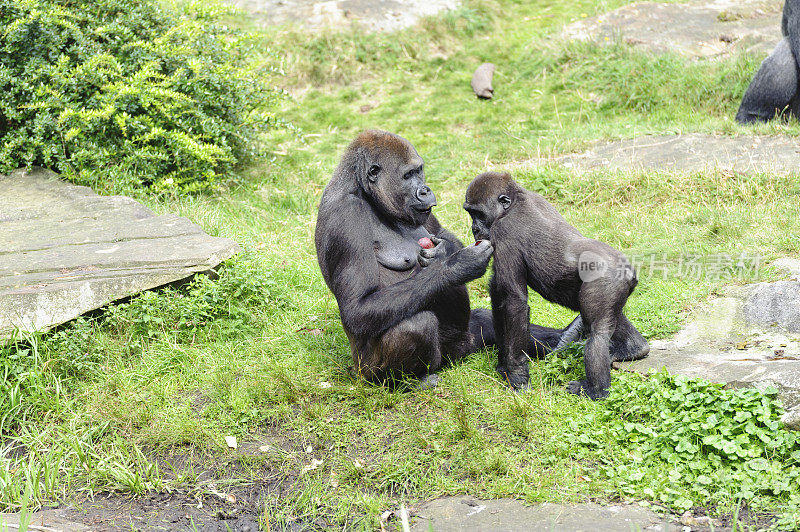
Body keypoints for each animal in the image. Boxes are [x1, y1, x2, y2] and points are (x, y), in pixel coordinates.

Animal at [316, 130, 572, 384]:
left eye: (419, 171)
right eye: (408, 175)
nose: (425, 190)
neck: (364, 192)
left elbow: (441, 233)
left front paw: (443, 253)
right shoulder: (345, 217)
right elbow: (358, 308)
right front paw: (457, 266)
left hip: (464, 342)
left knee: (482, 320)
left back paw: (562, 338)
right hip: (368, 371)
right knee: (416, 326)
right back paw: (411, 381)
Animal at [462, 172, 648, 396]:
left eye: (478, 214)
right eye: (470, 213)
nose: (474, 229)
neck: (515, 201)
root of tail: (628, 270)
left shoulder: (503, 230)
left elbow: (514, 301)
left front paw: (517, 376)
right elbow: (499, 295)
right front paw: (504, 365)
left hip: (606, 280)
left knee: (597, 331)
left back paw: (595, 390)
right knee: (612, 315)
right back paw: (634, 348)